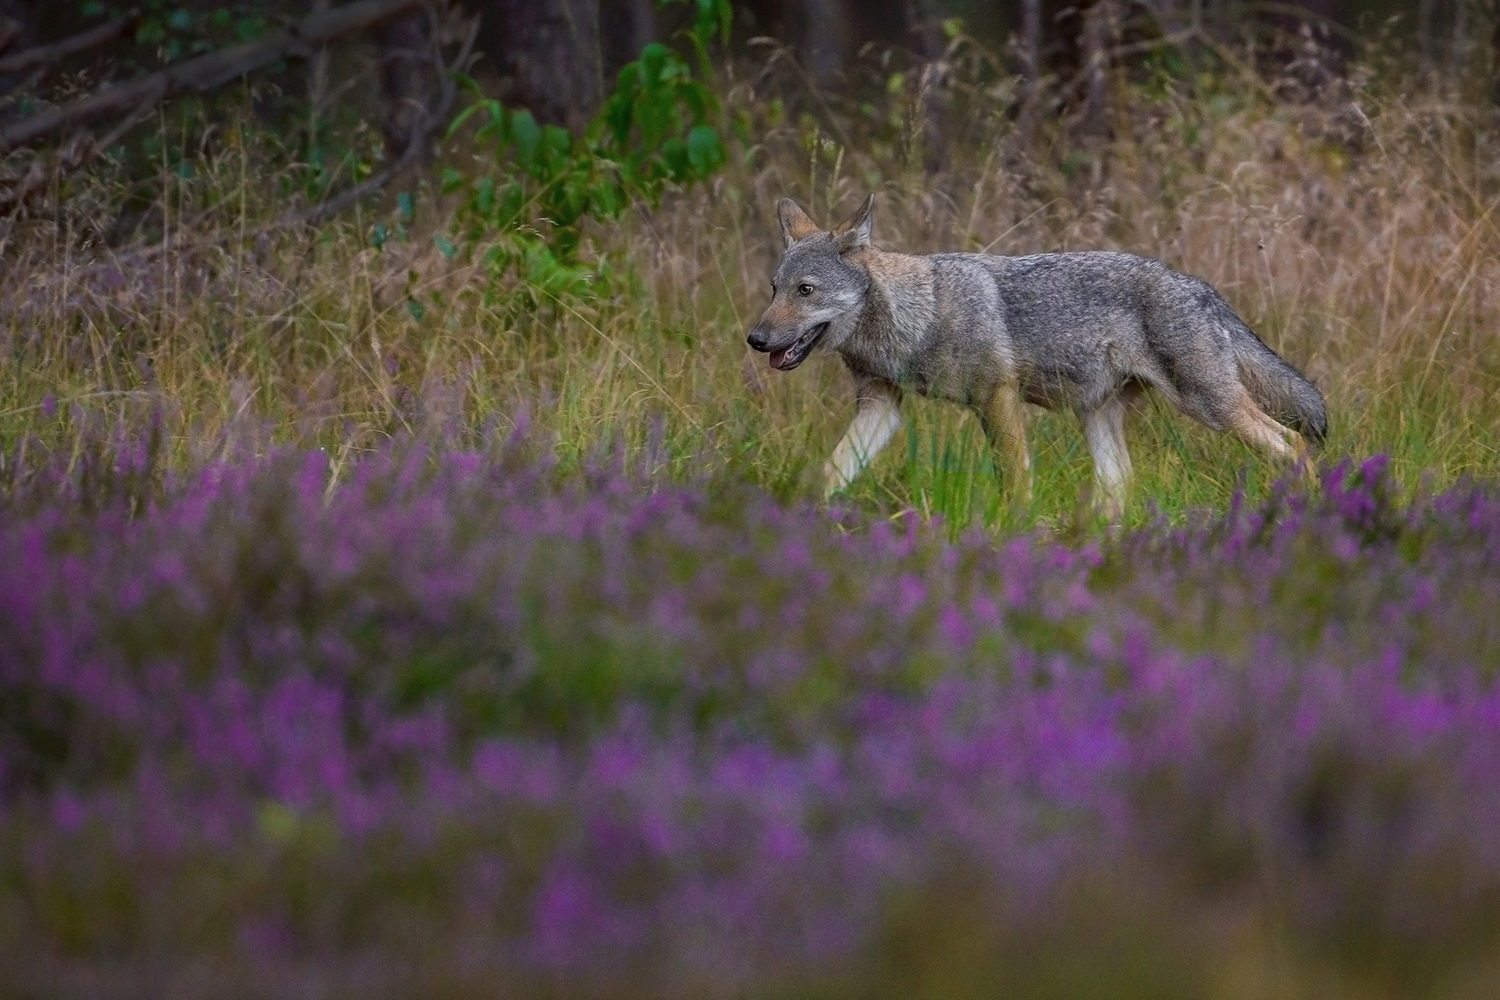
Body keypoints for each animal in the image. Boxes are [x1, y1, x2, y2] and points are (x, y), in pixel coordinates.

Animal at [747, 193, 1326, 515]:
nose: (755, 340)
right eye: (774, 289)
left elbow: (1015, 481)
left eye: (805, 290)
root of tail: (1201, 287)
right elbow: (830, 475)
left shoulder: (995, 398)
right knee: (1121, 485)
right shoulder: (881, 406)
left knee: (1295, 443)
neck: (915, 318)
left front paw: (1014, 535)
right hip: (1101, 421)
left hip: (1210, 407)